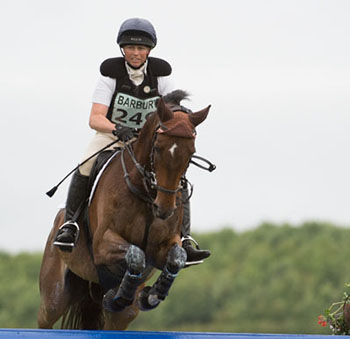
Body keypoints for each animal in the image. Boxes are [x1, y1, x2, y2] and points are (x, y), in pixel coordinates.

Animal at [37, 94, 211, 330]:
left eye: (191, 152)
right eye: (157, 147)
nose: (164, 208)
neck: (146, 194)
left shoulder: (164, 245)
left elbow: (177, 257)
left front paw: (151, 294)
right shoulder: (103, 244)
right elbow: (136, 254)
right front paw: (124, 295)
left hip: (120, 315)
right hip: (54, 297)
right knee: (46, 317)